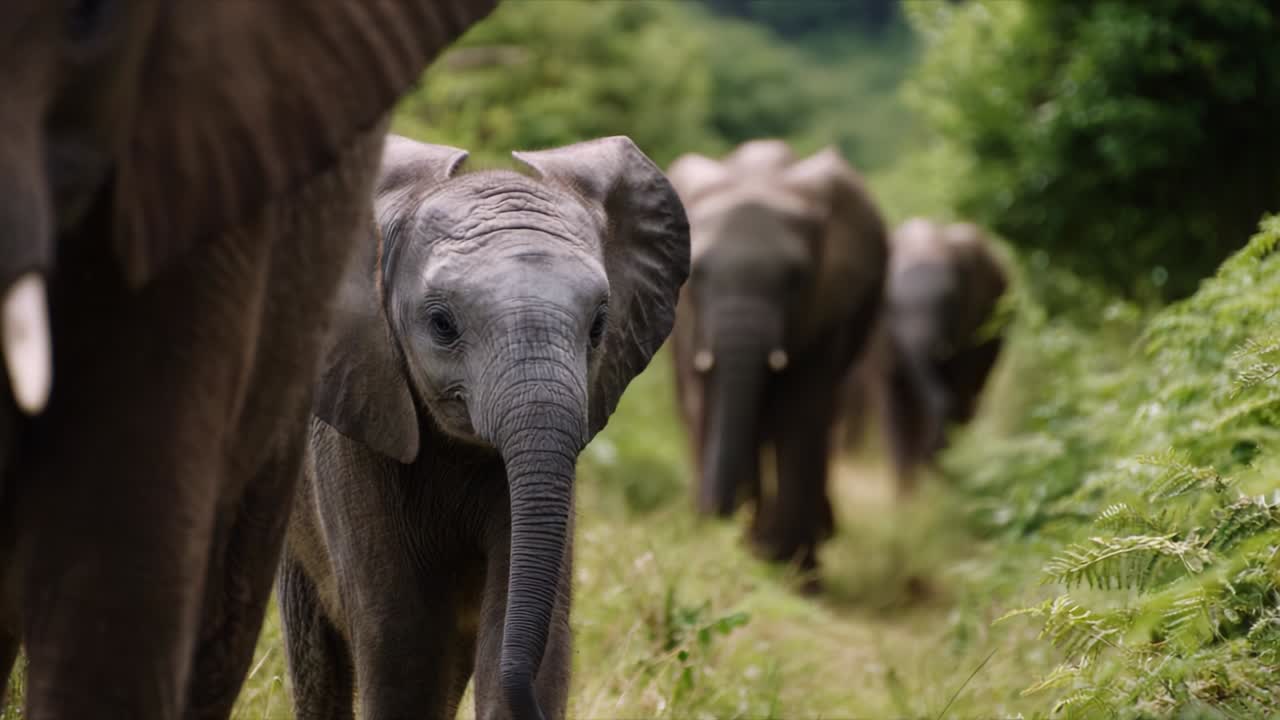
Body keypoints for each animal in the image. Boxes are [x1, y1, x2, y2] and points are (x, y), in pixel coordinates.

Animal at [667, 140, 888, 589]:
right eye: (697, 275)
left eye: (795, 279)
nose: (714, 511)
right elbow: (712, 406)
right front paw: (756, 557)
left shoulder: (827, 309)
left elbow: (801, 414)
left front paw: (794, 573)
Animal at [838, 218, 1009, 495]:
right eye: (893, 308)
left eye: (949, 304)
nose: (929, 455)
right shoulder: (879, 336)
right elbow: (896, 403)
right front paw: (906, 501)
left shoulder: (973, 324)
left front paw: (938, 491)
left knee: (969, 401)